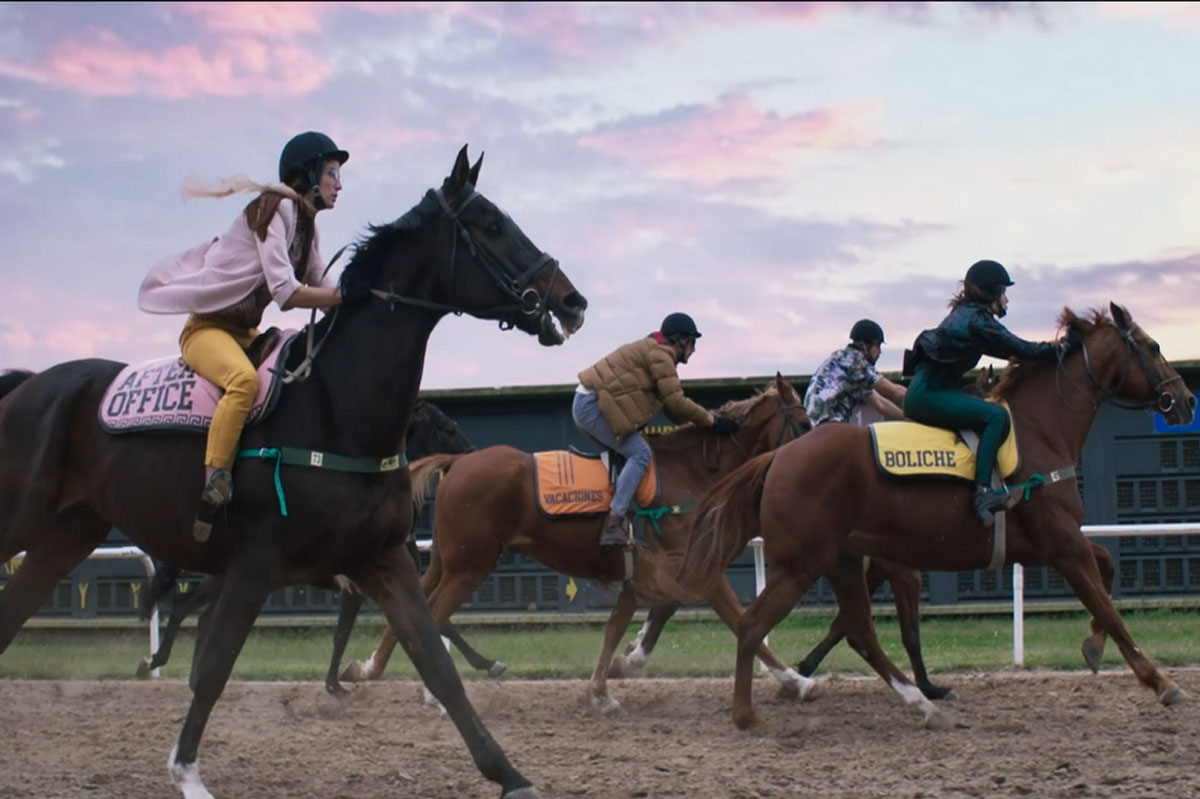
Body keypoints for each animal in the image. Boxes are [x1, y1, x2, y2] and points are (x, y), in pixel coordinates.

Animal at [0, 144, 585, 796]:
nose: (571, 301)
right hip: (21, 520)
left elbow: (436, 662)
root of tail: (25, 385)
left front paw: (509, 773)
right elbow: (215, 668)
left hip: (64, 536)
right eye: (491, 225)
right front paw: (187, 771)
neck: (331, 409)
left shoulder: (382, 560)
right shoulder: (255, 565)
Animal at [343, 374, 820, 710]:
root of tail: (458, 463)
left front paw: (608, 683)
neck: (692, 472)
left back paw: (368, 668)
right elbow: (744, 622)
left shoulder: (647, 574)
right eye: (803, 420)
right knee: (434, 615)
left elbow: (618, 628)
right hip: (470, 566)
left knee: (415, 611)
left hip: (446, 563)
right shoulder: (698, 571)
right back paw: (432, 693)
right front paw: (799, 681)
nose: (812, 453)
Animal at [681, 303, 1195, 729]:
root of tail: (779, 457)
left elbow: (1106, 572)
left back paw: (917, 702)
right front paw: (1162, 683)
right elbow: (1109, 609)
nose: (1186, 399)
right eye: (1153, 347)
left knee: (858, 631)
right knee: (753, 625)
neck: (1037, 432)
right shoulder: (1060, 543)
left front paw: (1092, 647)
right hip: (800, 564)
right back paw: (748, 713)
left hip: (840, 559)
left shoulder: (1054, 543)